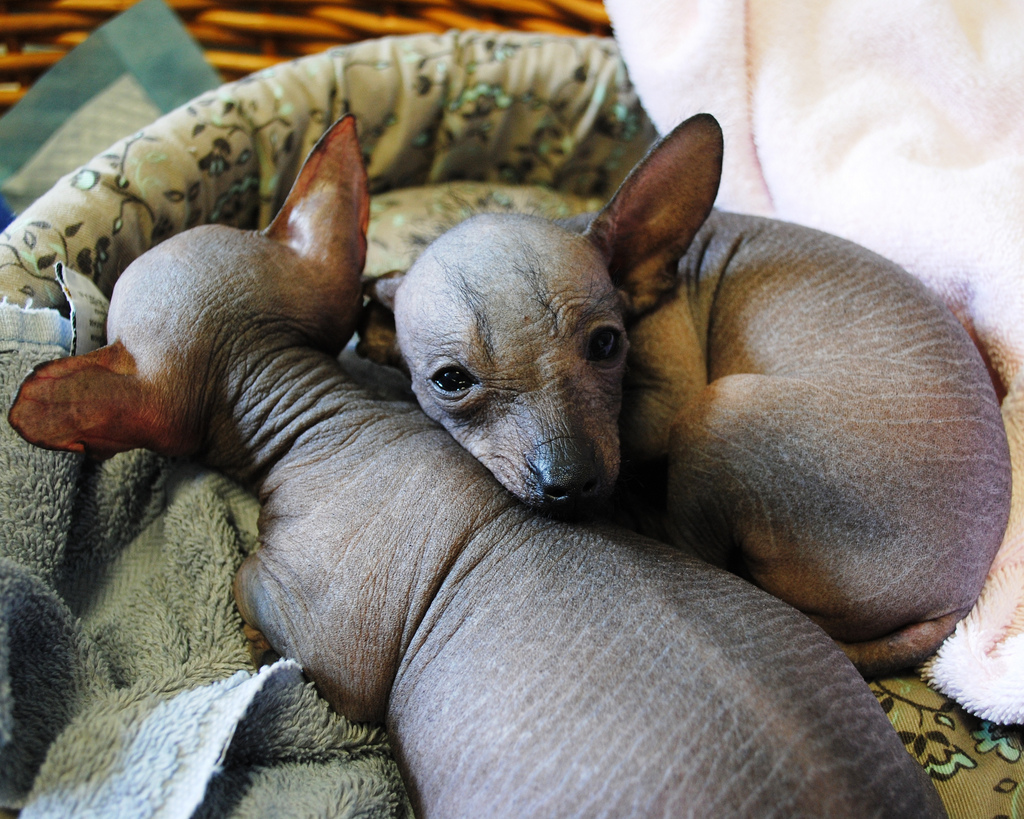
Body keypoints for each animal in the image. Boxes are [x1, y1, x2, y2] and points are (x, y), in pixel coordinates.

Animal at [364, 113, 1011, 679]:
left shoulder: (664, 396)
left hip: (726, 411)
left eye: (606, 344)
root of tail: (955, 602)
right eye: (451, 381)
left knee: (693, 544)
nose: (569, 480)